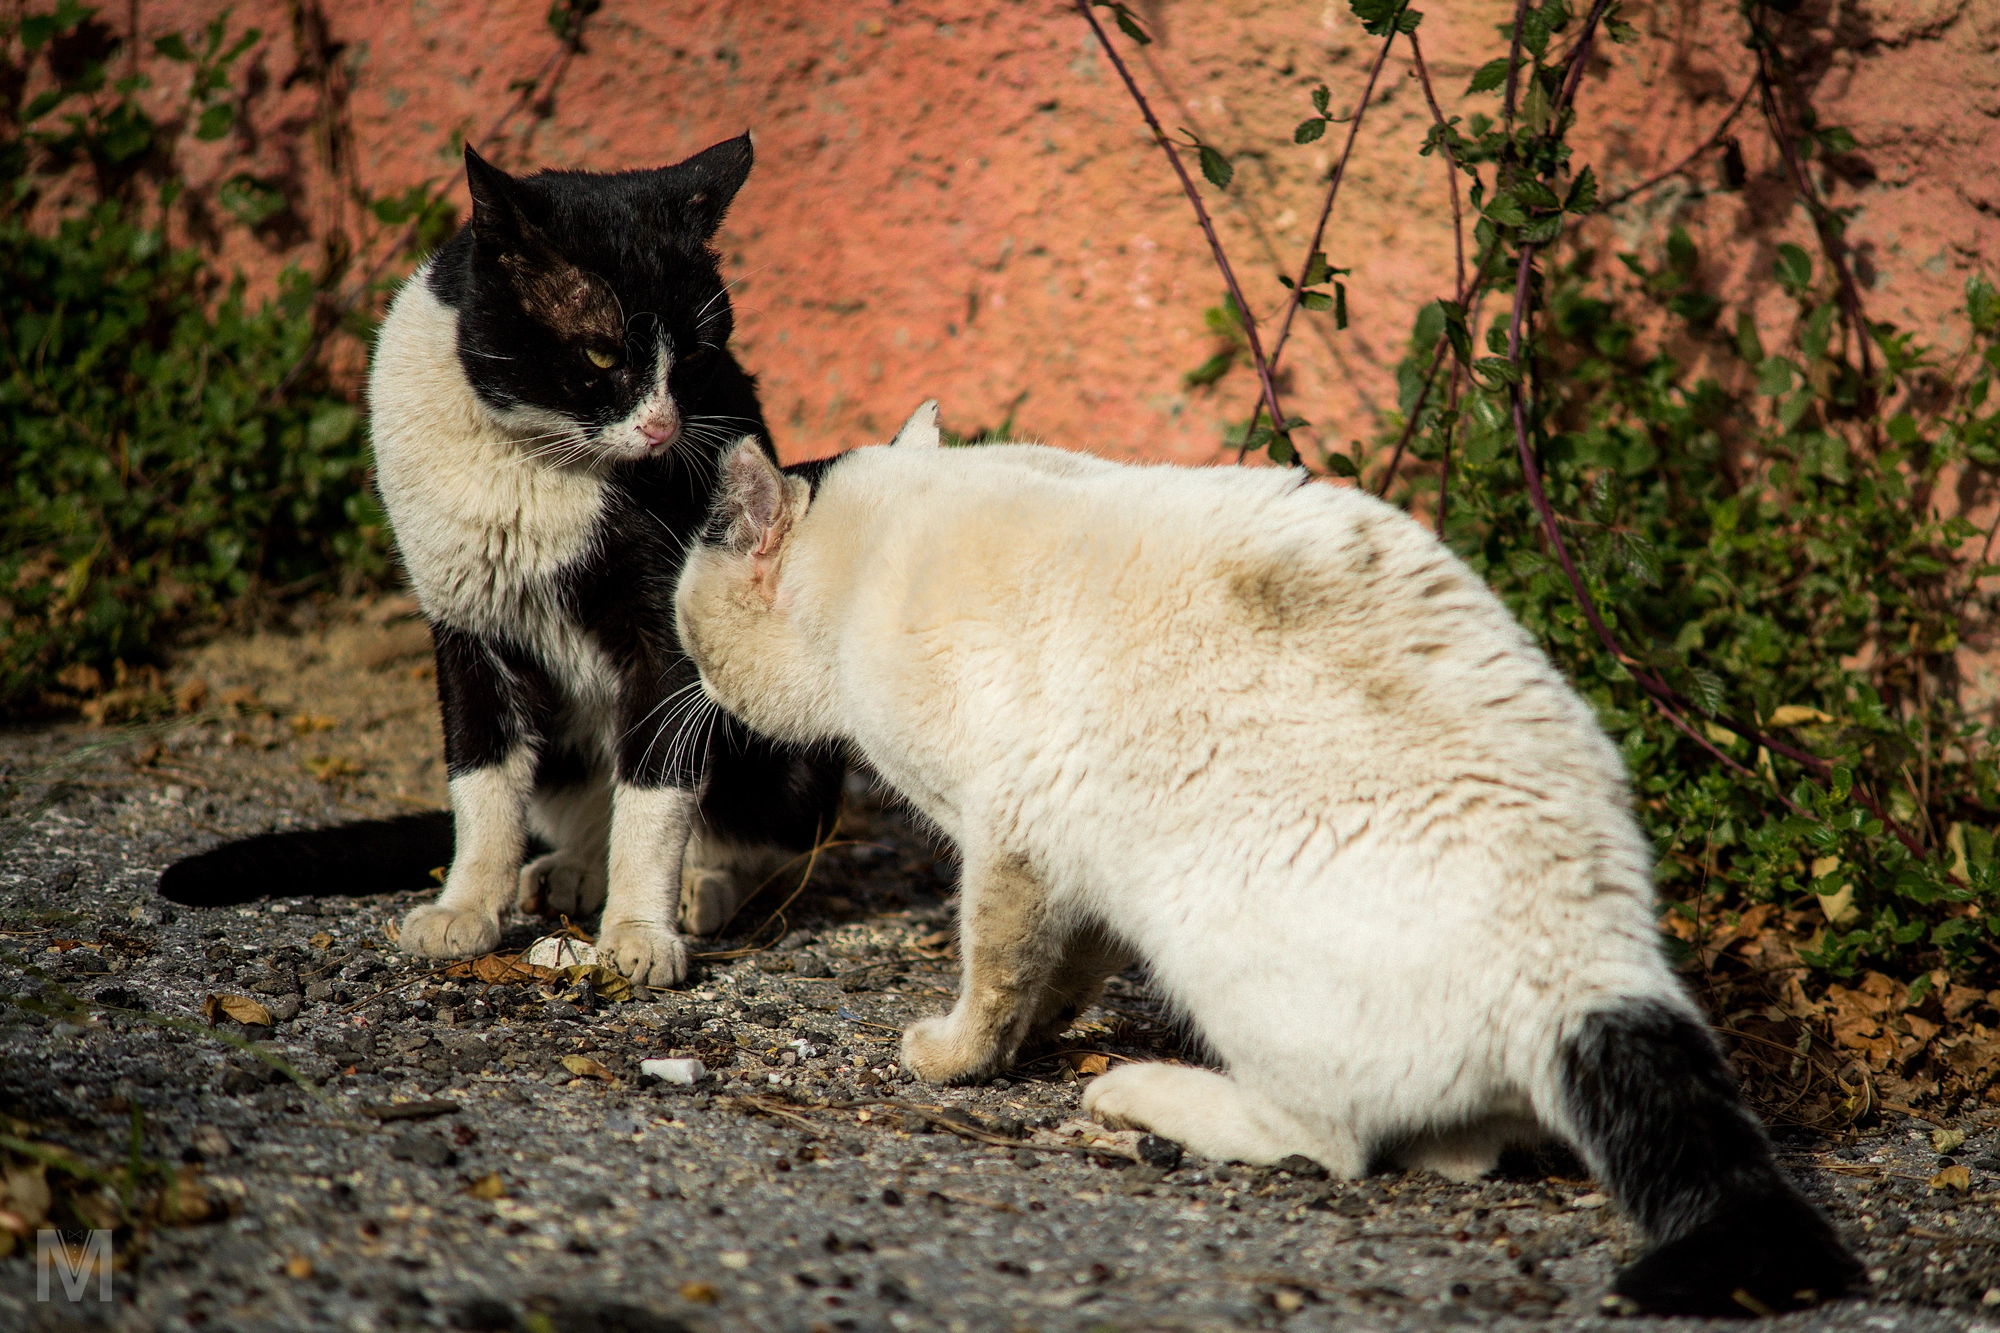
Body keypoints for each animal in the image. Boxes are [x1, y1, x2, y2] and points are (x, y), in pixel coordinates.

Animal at [158, 137, 836, 984]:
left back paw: (698, 886)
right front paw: (467, 908)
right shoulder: (464, 622)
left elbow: (657, 790)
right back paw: (568, 871)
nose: (663, 430)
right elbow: (481, 779)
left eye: (696, 358)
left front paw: (640, 931)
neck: (532, 461)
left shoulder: (667, 634)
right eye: (600, 352)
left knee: (764, 837)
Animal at [668, 410, 1856, 1312]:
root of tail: (1593, 961)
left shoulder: (1008, 836)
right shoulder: (1078, 859)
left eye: (686, 628)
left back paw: (1144, 1094)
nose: (694, 684)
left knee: (1325, 1142)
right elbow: (1065, 964)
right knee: (1453, 1141)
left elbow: (996, 969)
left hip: (1217, 943)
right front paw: (1047, 1027)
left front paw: (961, 1054)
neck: (891, 537)